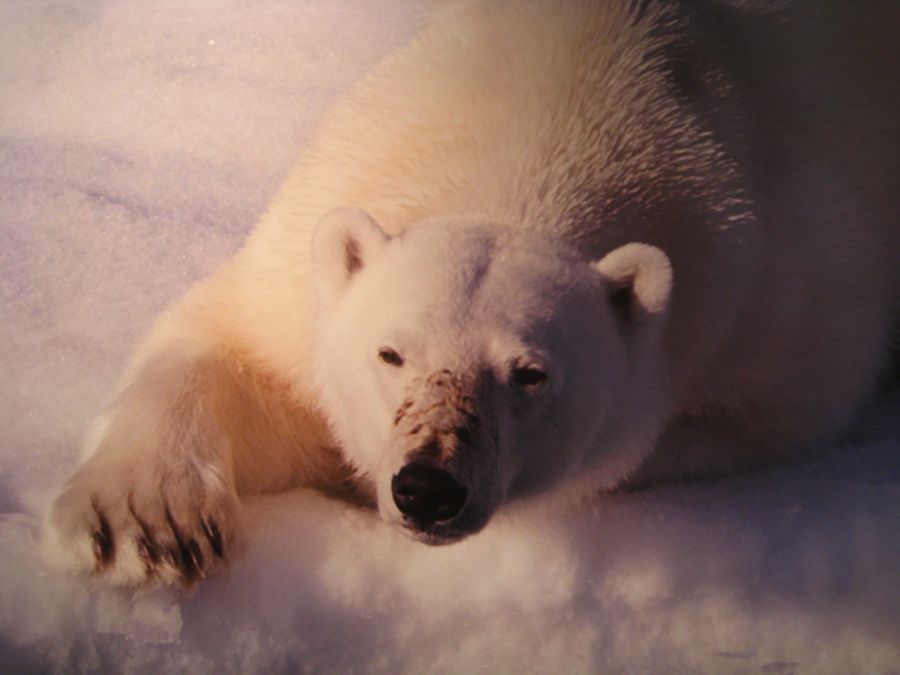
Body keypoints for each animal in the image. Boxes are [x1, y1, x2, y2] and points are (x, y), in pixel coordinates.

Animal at [44, 1, 900, 588]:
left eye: (531, 372)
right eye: (391, 351)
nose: (427, 487)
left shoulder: (778, 303)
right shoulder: (324, 209)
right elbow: (230, 341)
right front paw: (148, 525)